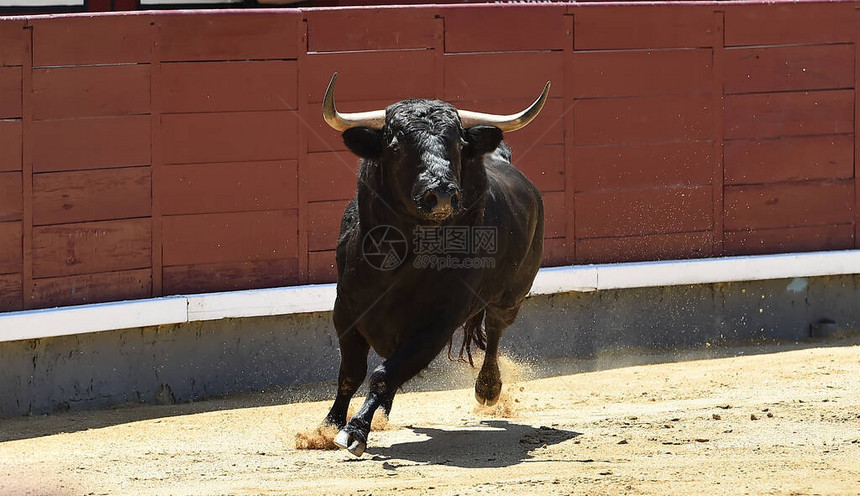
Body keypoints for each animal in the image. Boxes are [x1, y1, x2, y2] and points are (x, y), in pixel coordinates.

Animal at [320, 74, 548, 458]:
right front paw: (328, 426)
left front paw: (355, 431)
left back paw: (488, 388)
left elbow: (383, 374)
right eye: (395, 143)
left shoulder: (436, 325)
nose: (441, 194)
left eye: (457, 143)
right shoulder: (346, 311)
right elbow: (351, 373)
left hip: (511, 296)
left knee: (495, 332)